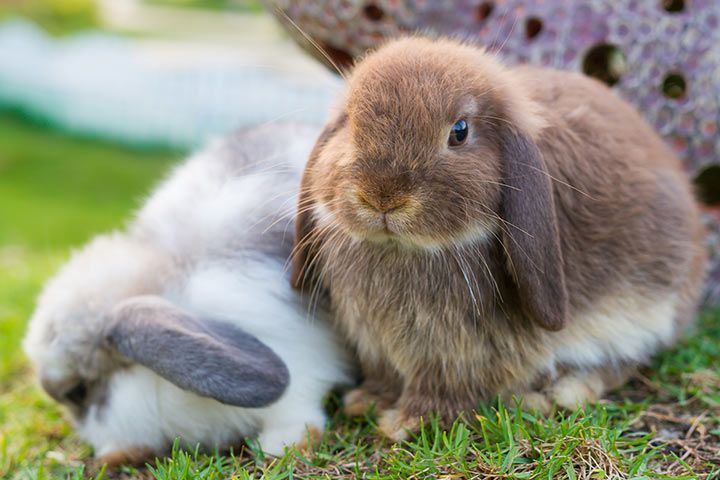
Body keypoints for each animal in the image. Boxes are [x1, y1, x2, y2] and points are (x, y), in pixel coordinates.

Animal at [292, 37, 704, 440]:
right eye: (349, 123)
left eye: (459, 131)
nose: (382, 198)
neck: (404, 248)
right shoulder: (379, 346)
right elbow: (386, 375)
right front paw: (366, 401)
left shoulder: (459, 356)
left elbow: (445, 389)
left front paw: (407, 423)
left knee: (622, 364)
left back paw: (561, 392)